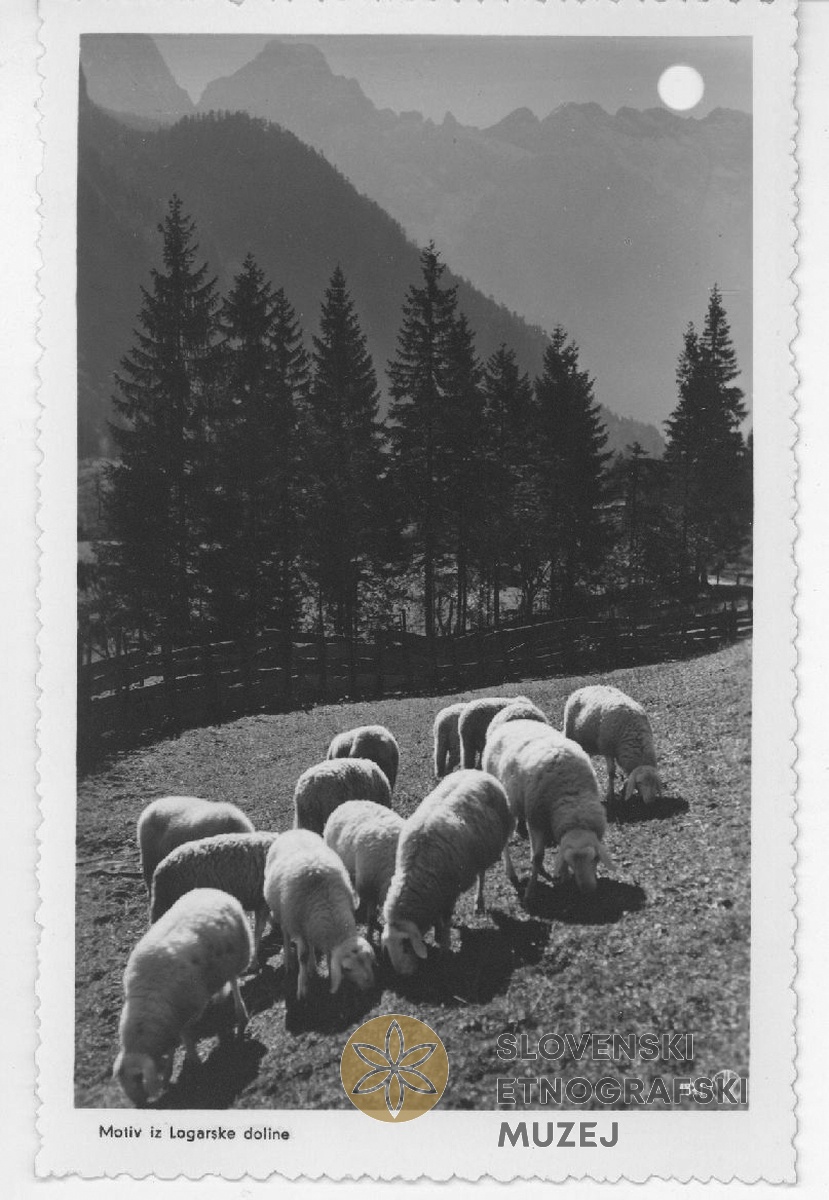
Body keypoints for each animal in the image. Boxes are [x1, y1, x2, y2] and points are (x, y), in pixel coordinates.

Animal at [113, 888, 252, 1107]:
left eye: (138, 1078)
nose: (139, 1105)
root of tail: (214, 891)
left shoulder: (186, 1009)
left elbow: (185, 1036)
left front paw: (193, 1061)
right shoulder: (171, 1018)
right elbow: (172, 1044)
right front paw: (168, 1072)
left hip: (234, 957)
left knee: (233, 981)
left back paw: (241, 1014)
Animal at [263, 828, 375, 1001]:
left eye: (368, 960)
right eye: (347, 969)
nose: (370, 987)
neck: (327, 905)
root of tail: (294, 830)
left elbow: (322, 953)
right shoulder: (297, 925)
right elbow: (302, 955)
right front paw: (302, 989)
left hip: (307, 924)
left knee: (310, 942)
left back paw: (312, 966)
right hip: (283, 914)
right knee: (285, 934)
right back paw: (289, 960)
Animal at [381, 769, 514, 975]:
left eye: (406, 945)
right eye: (388, 948)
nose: (405, 974)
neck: (415, 871)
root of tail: (477, 771)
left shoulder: (449, 892)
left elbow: (446, 919)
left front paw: (444, 946)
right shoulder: (436, 892)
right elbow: (438, 918)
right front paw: (437, 933)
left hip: (484, 852)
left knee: (482, 875)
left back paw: (479, 902)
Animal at [483, 719, 616, 902]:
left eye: (596, 858)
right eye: (571, 861)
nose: (588, 890)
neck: (572, 798)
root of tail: (513, 721)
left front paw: (564, 876)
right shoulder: (536, 820)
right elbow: (538, 857)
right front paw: (530, 891)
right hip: (506, 805)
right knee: (505, 843)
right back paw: (511, 872)